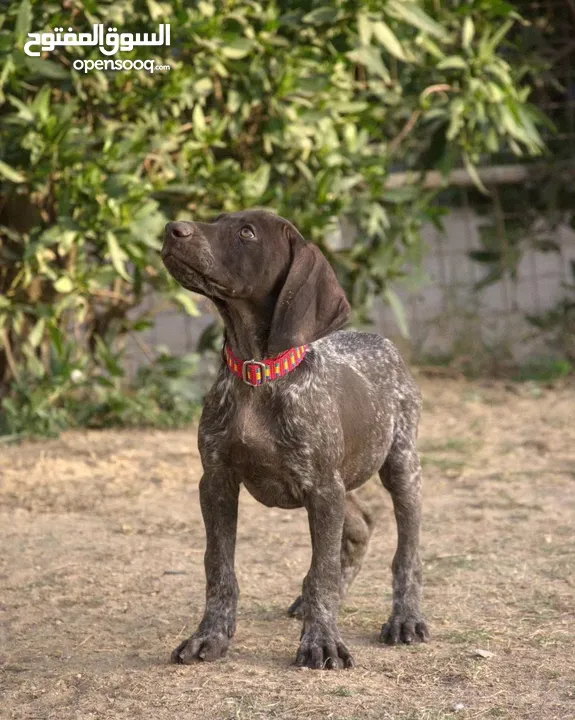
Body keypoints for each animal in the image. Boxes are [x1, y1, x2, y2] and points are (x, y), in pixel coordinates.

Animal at [161, 211, 428, 672]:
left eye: (246, 233)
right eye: (217, 219)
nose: (171, 229)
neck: (258, 372)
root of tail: (378, 339)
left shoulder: (322, 489)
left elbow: (321, 570)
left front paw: (322, 642)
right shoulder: (216, 481)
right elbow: (219, 567)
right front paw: (210, 636)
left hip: (400, 466)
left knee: (405, 553)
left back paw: (404, 619)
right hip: (340, 481)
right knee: (360, 526)